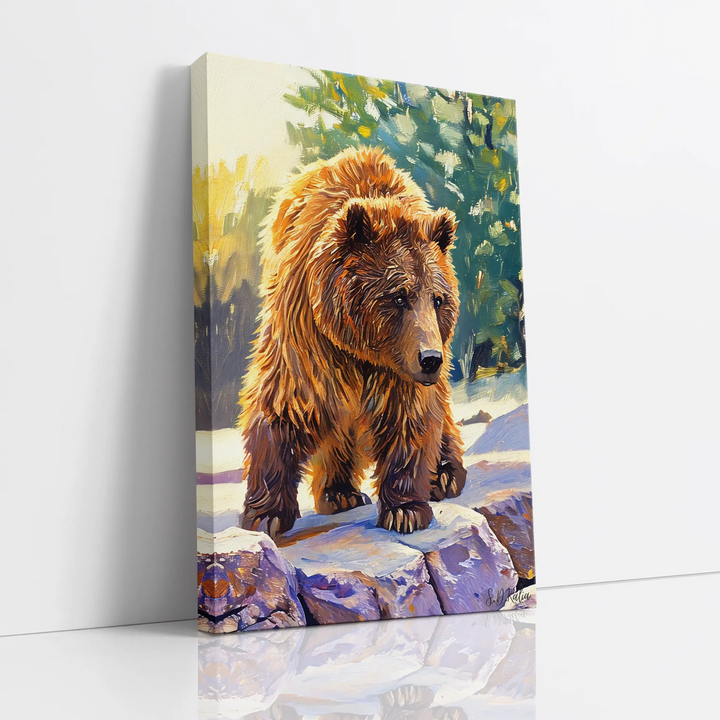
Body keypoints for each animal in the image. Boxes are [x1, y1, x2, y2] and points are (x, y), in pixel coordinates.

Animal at [238, 146, 466, 537]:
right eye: (398, 296)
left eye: (438, 299)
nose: (430, 359)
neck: (361, 347)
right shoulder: (307, 338)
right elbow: (284, 405)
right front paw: (265, 514)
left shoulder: (399, 365)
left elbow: (410, 414)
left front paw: (405, 509)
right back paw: (340, 492)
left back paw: (446, 475)